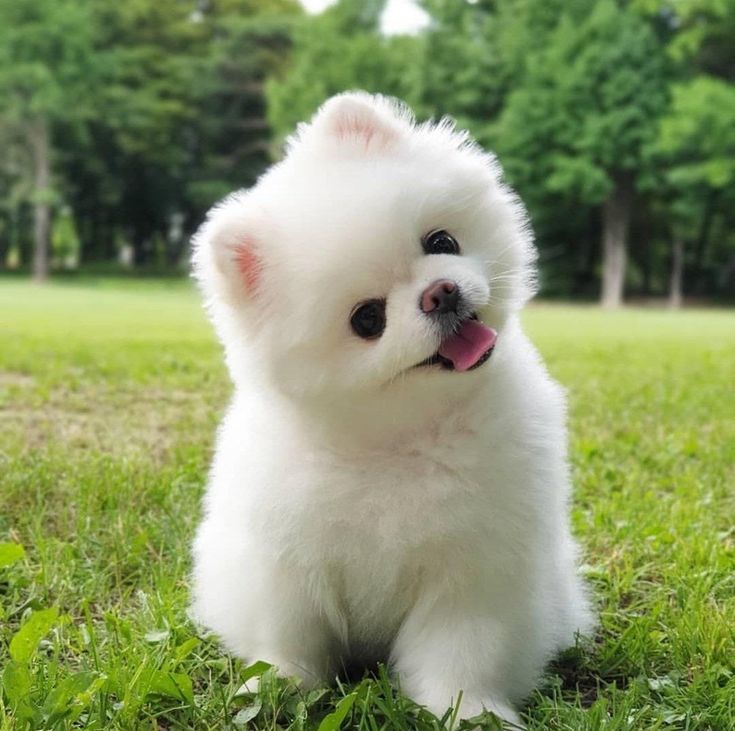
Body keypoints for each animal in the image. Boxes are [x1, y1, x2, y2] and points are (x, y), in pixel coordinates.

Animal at [190, 91, 592, 728]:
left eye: (442, 242)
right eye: (367, 319)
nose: (440, 293)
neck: (400, 438)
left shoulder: (471, 570)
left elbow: (462, 651)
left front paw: (469, 709)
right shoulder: (286, 566)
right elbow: (290, 640)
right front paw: (279, 689)